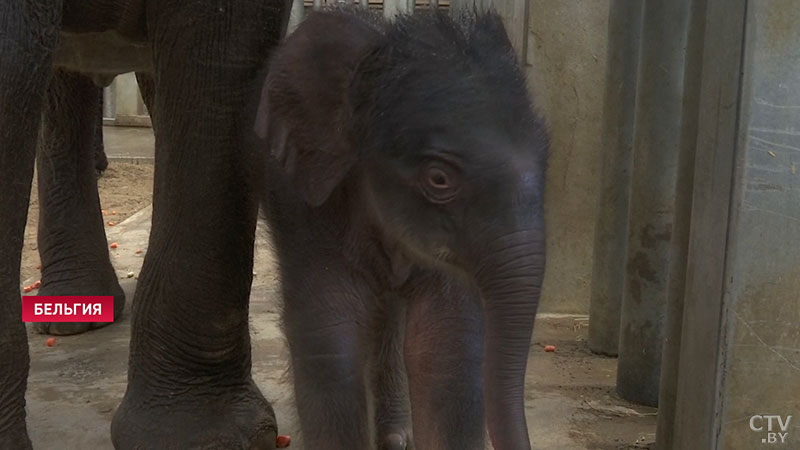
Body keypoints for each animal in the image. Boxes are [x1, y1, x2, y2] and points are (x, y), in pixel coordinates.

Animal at [260, 7, 548, 450]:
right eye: (439, 179)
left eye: (546, 155)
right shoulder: (304, 209)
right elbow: (330, 344)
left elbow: (445, 344)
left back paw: (396, 437)